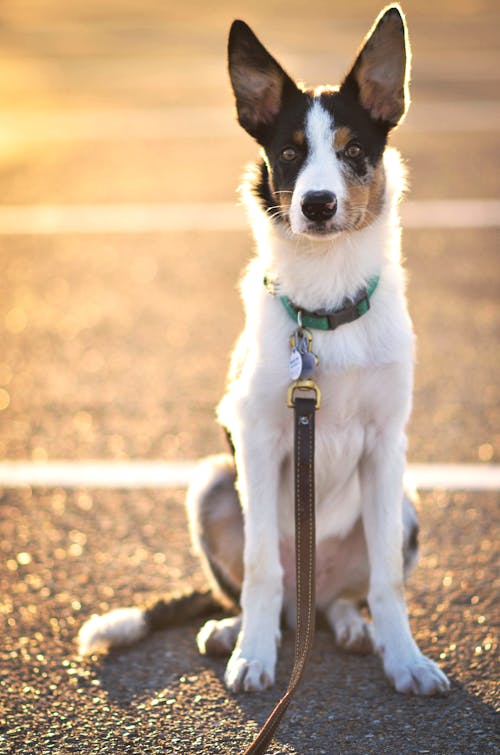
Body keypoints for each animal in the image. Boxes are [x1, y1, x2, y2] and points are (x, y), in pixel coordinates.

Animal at [78, 5, 450, 700]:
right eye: (289, 154)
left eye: (354, 152)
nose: (318, 204)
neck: (326, 306)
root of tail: (315, 590)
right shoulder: (254, 438)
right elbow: (258, 568)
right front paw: (253, 654)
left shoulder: (388, 445)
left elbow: (387, 577)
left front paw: (406, 659)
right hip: (212, 482)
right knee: (274, 591)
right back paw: (240, 630)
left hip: (407, 504)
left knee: (340, 598)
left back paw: (350, 625)